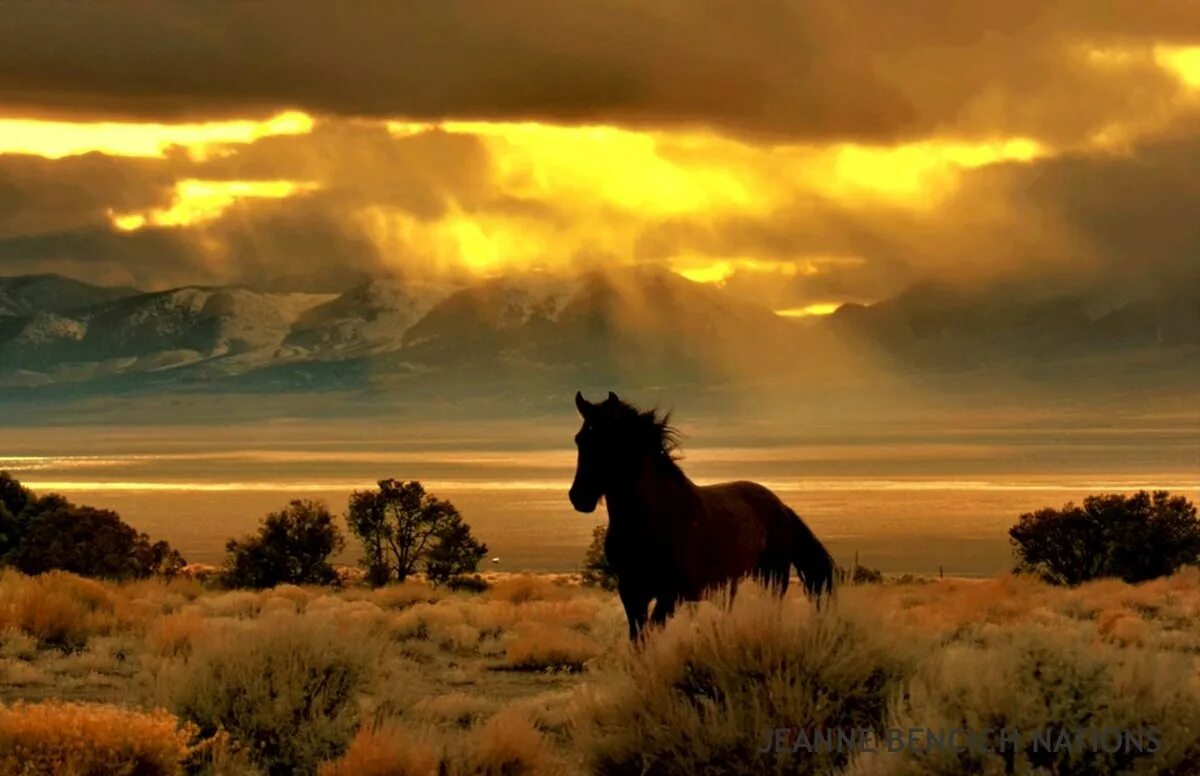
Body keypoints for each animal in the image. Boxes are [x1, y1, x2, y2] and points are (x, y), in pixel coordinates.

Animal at [568, 390, 835, 642]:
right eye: (579, 440)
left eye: (611, 440)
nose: (579, 497)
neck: (652, 520)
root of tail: (780, 505)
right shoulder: (631, 593)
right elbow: (639, 640)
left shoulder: (671, 594)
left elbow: (652, 633)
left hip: (773, 578)